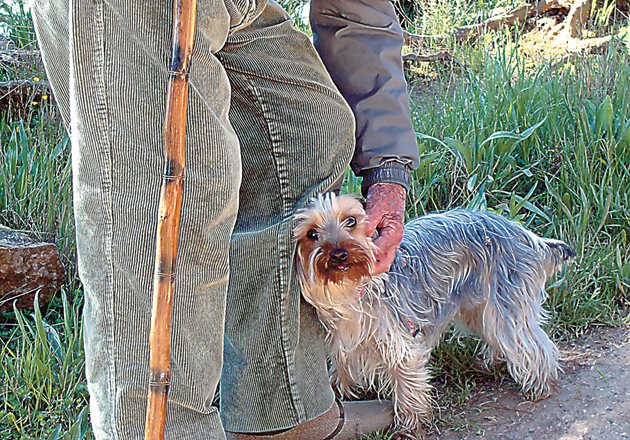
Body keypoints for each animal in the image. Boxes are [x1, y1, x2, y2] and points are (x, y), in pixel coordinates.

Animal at [294, 192, 576, 436]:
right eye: (312, 234)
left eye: (351, 221)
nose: (339, 254)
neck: (349, 288)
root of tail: (526, 235)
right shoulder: (345, 337)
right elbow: (342, 366)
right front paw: (336, 392)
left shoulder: (400, 340)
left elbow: (406, 380)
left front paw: (409, 425)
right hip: (477, 304)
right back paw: (490, 361)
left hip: (505, 298)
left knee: (528, 340)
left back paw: (539, 383)